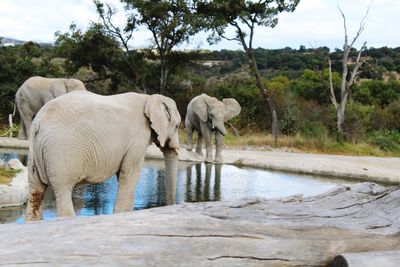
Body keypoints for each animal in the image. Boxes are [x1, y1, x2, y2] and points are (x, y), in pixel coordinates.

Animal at [25, 91, 180, 221]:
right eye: (177, 126)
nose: (170, 206)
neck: (149, 98)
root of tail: (37, 123)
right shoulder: (138, 138)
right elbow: (130, 173)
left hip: (36, 152)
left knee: (35, 189)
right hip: (59, 151)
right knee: (63, 189)